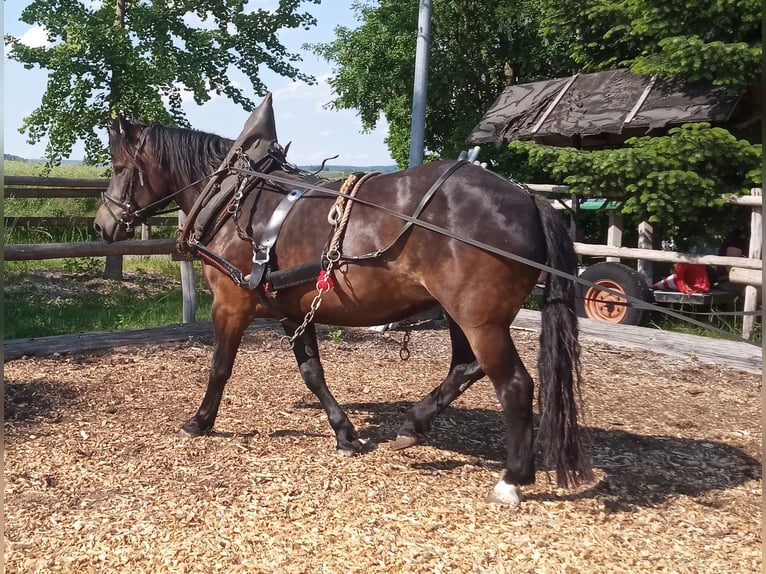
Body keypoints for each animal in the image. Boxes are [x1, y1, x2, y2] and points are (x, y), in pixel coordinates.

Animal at [93, 94, 593, 504]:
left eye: (117, 168)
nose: (102, 224)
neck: (236, 198)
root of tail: (529, 200)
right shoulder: (291, 309)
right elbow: (312, 372)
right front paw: (345, 433)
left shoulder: (231, 304)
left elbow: (220, 367)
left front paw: (200, 421)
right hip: (462, 315)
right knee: (465, 367)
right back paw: (414, 425)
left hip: (480, 319)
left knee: (515, 386)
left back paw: (512, 478)